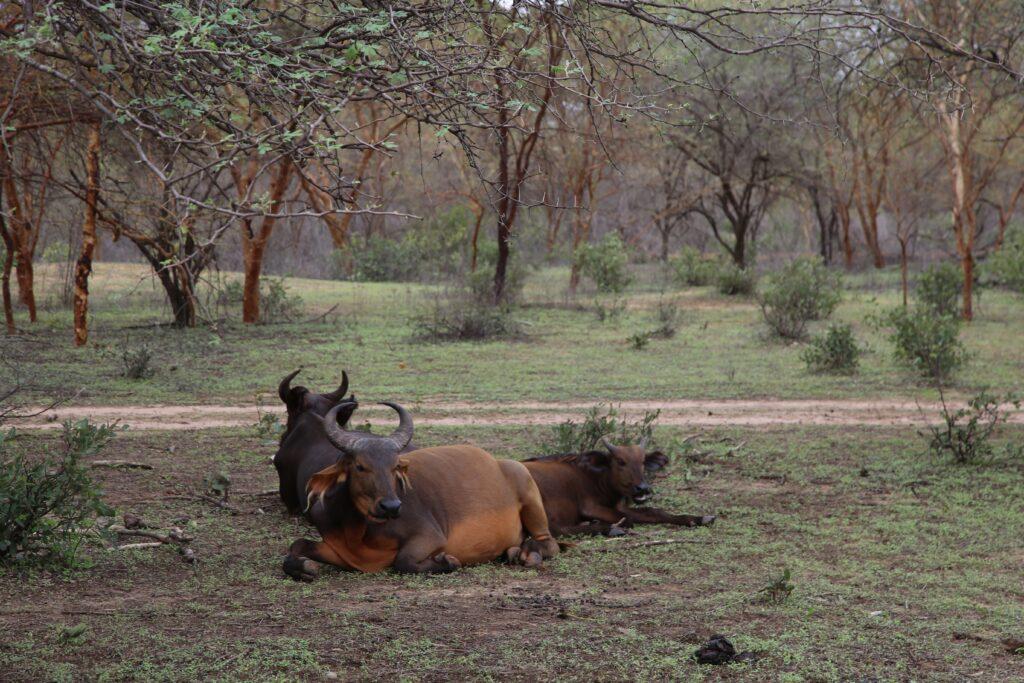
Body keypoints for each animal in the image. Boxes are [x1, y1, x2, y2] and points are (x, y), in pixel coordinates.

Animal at [283, 401, 559, 580]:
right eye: (360, 466)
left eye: (395, 466)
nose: (391, 507)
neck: (358, 529)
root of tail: (500, 463)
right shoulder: (337, 549)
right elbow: (296, 546)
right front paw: (305, 568)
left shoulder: (430, 536)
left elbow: (403, 561)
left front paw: (446, 561)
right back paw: (514, 551)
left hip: (529, 492)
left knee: (550, 543)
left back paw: (528, 554)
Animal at [523, 437, 716, 536]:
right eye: (620, 462)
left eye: (643, 461)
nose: (642, 488)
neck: (594, 477)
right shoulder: (590, 507)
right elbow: (629, 518)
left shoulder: (620, 506)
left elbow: (654, 511)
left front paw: (699, 518)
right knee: (554, 529)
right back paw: (610, 528)